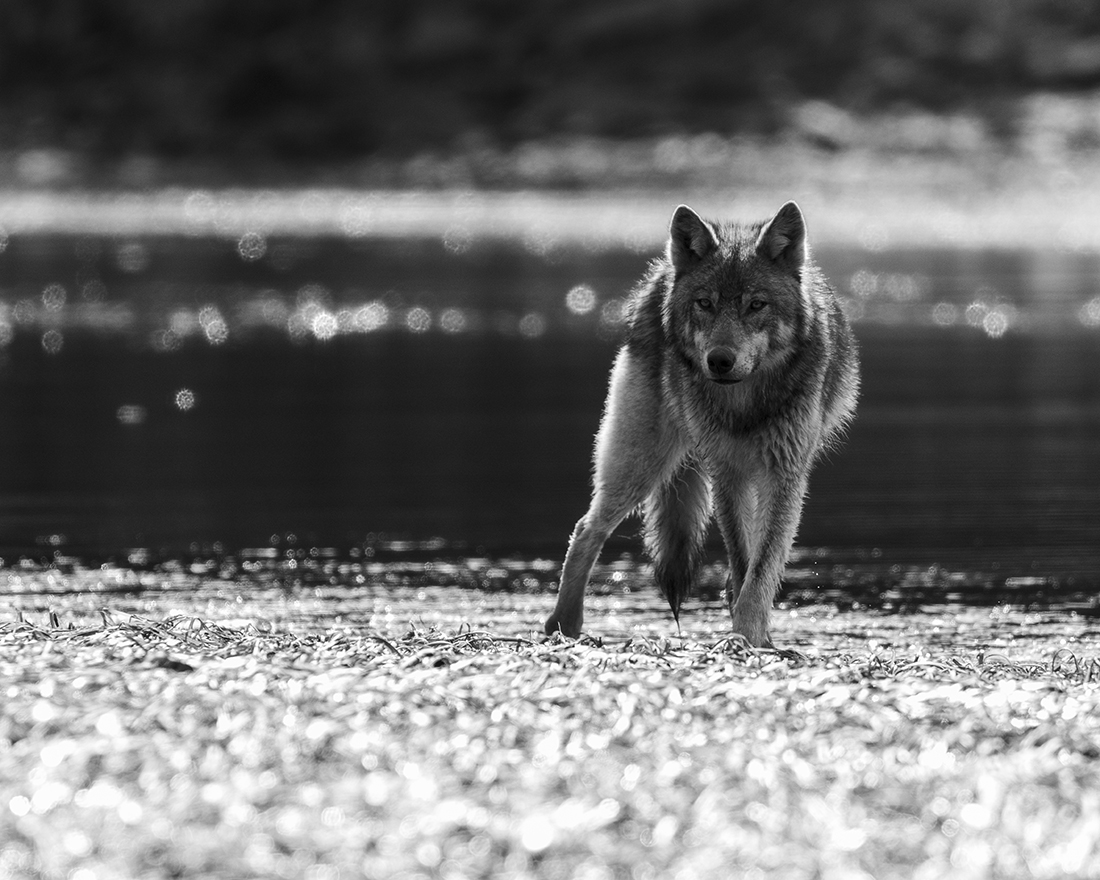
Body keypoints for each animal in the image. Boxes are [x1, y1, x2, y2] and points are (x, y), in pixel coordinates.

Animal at [544, 201, 859, 647]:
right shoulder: (726, 473)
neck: (743, 404)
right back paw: (563, 625)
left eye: (756, 305)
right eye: (705, 303)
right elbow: (745, 564)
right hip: (640, 465)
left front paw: (752, 636)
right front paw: (748, 638)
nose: (720, 360)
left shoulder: (783, 476)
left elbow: (760, 569)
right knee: (586, 530)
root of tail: (662, 271)